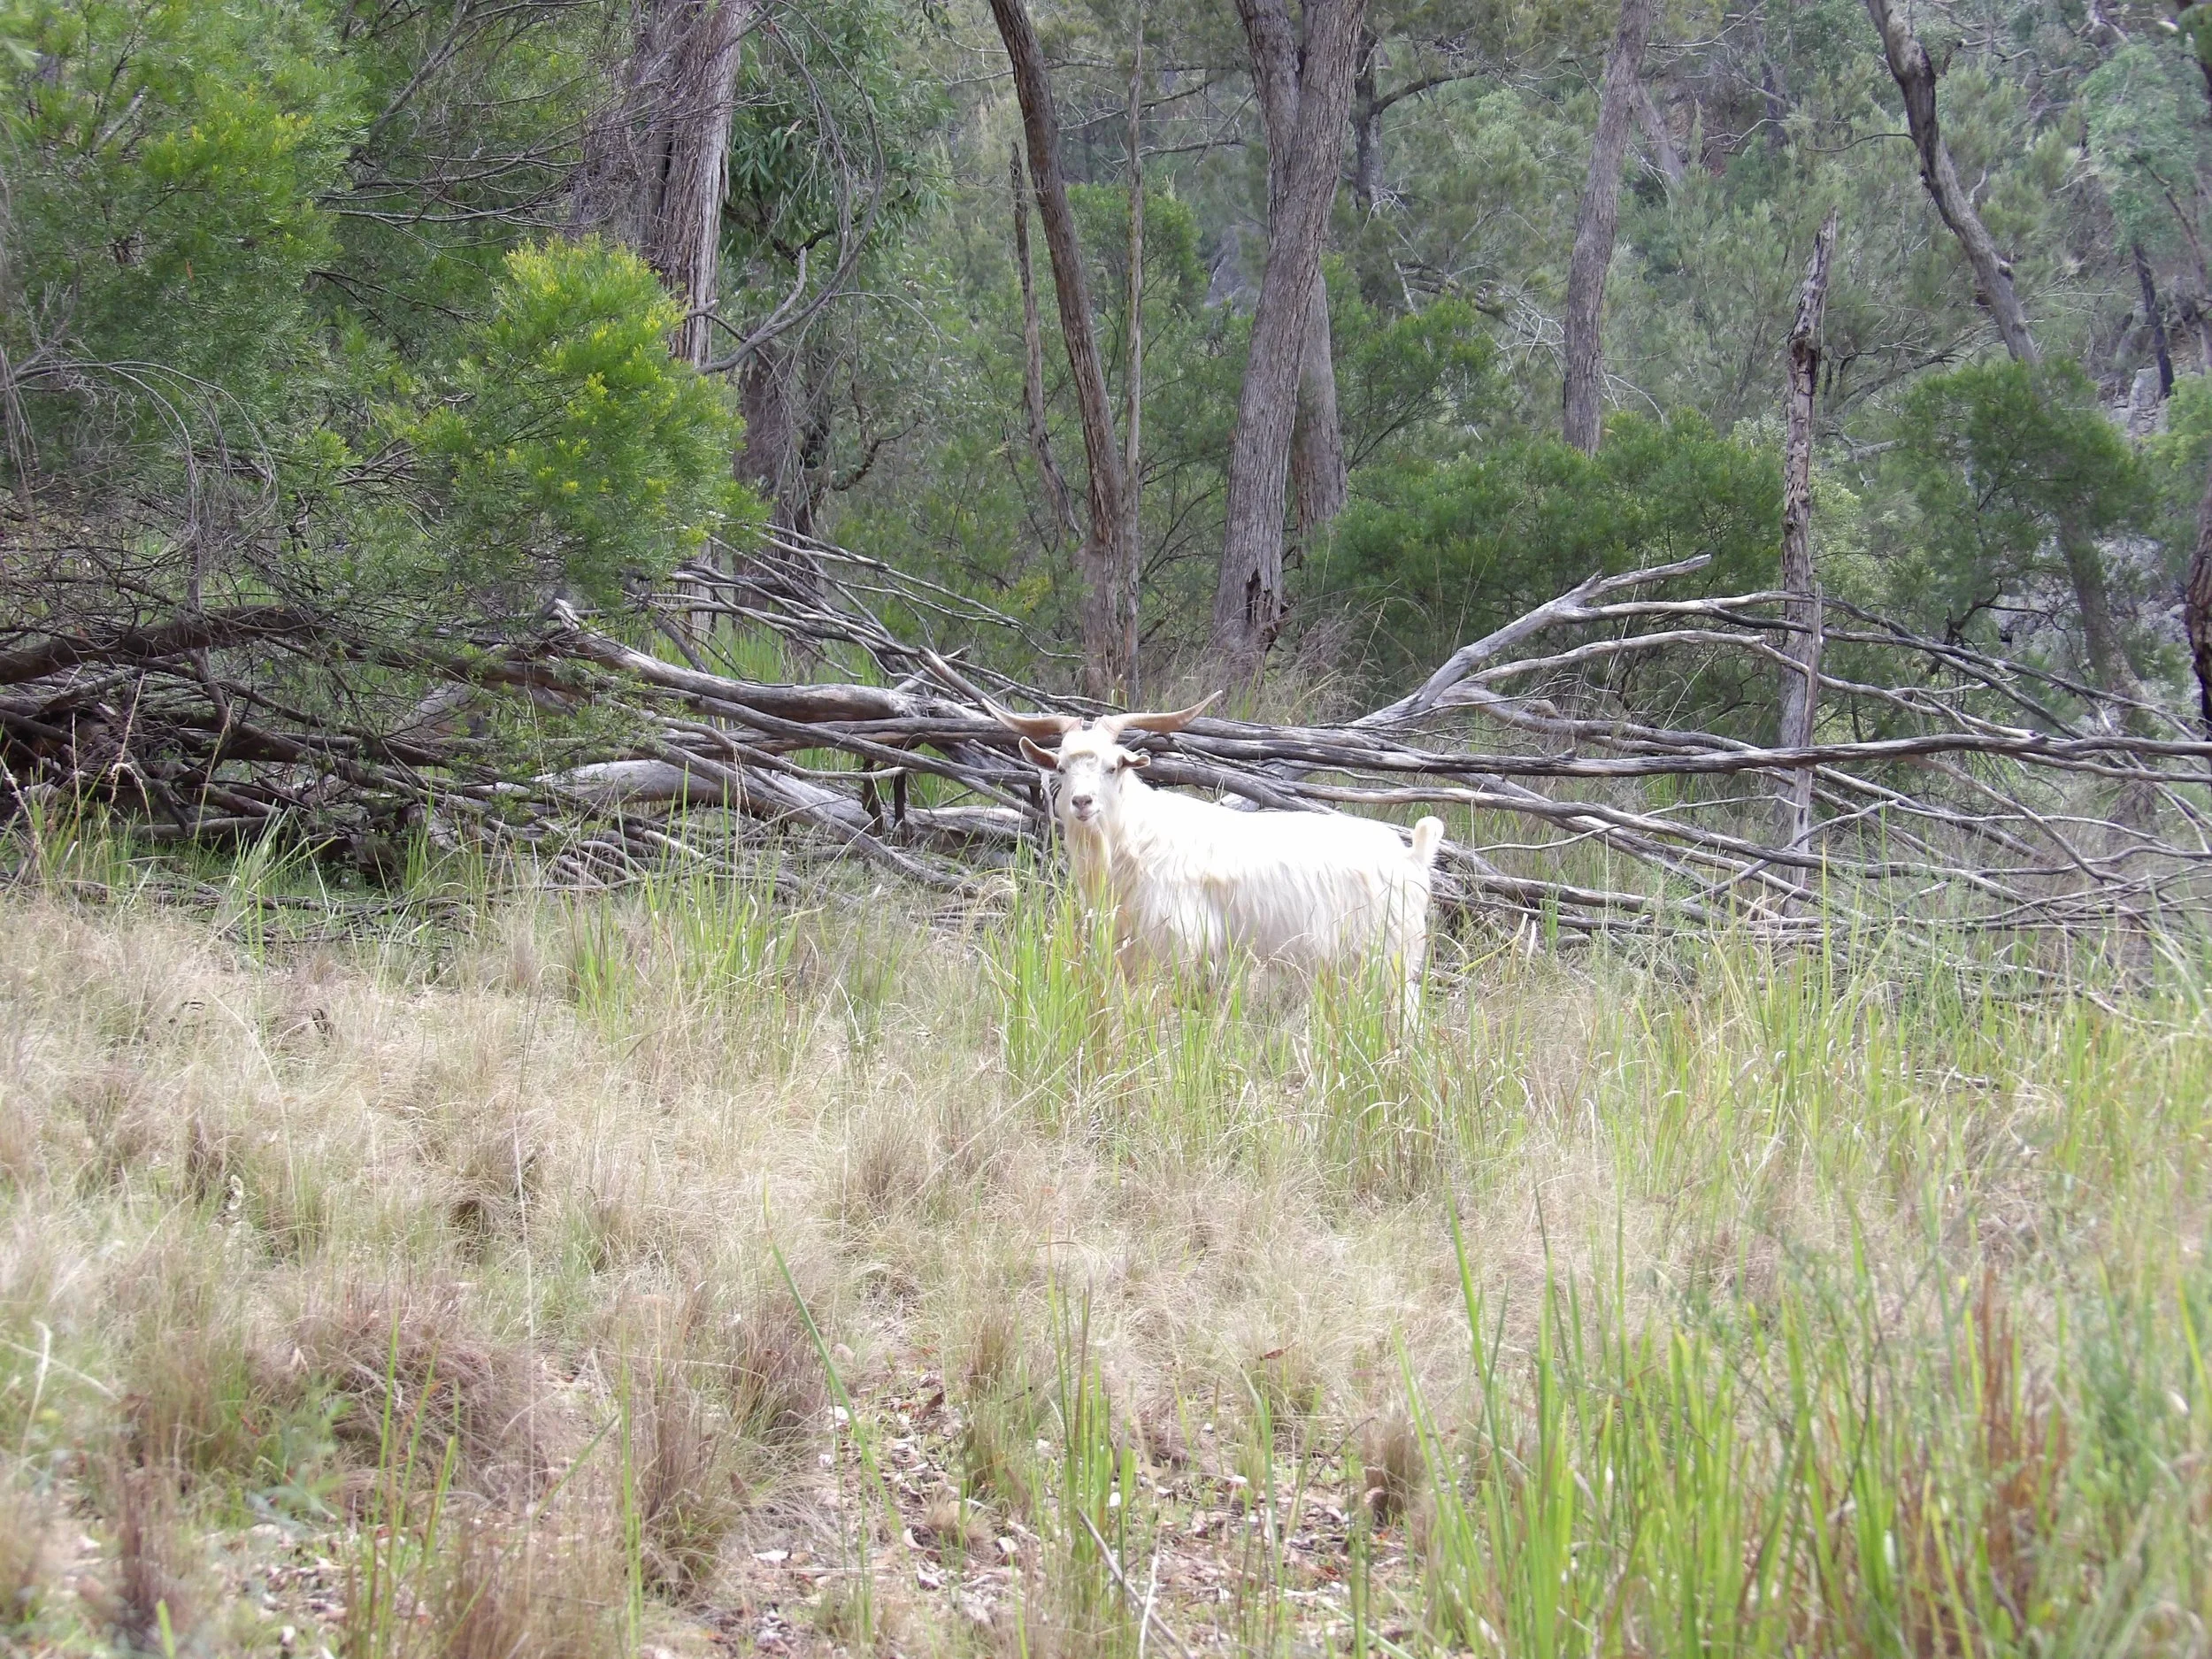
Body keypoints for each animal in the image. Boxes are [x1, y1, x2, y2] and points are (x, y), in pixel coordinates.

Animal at [986, 696, 1446, 1010]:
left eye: (1113, 766)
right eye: (1061, 768)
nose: (1082, 803)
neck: (1138, 839)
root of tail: (1412, 857)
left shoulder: (1175, 951)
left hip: (1390, 967)